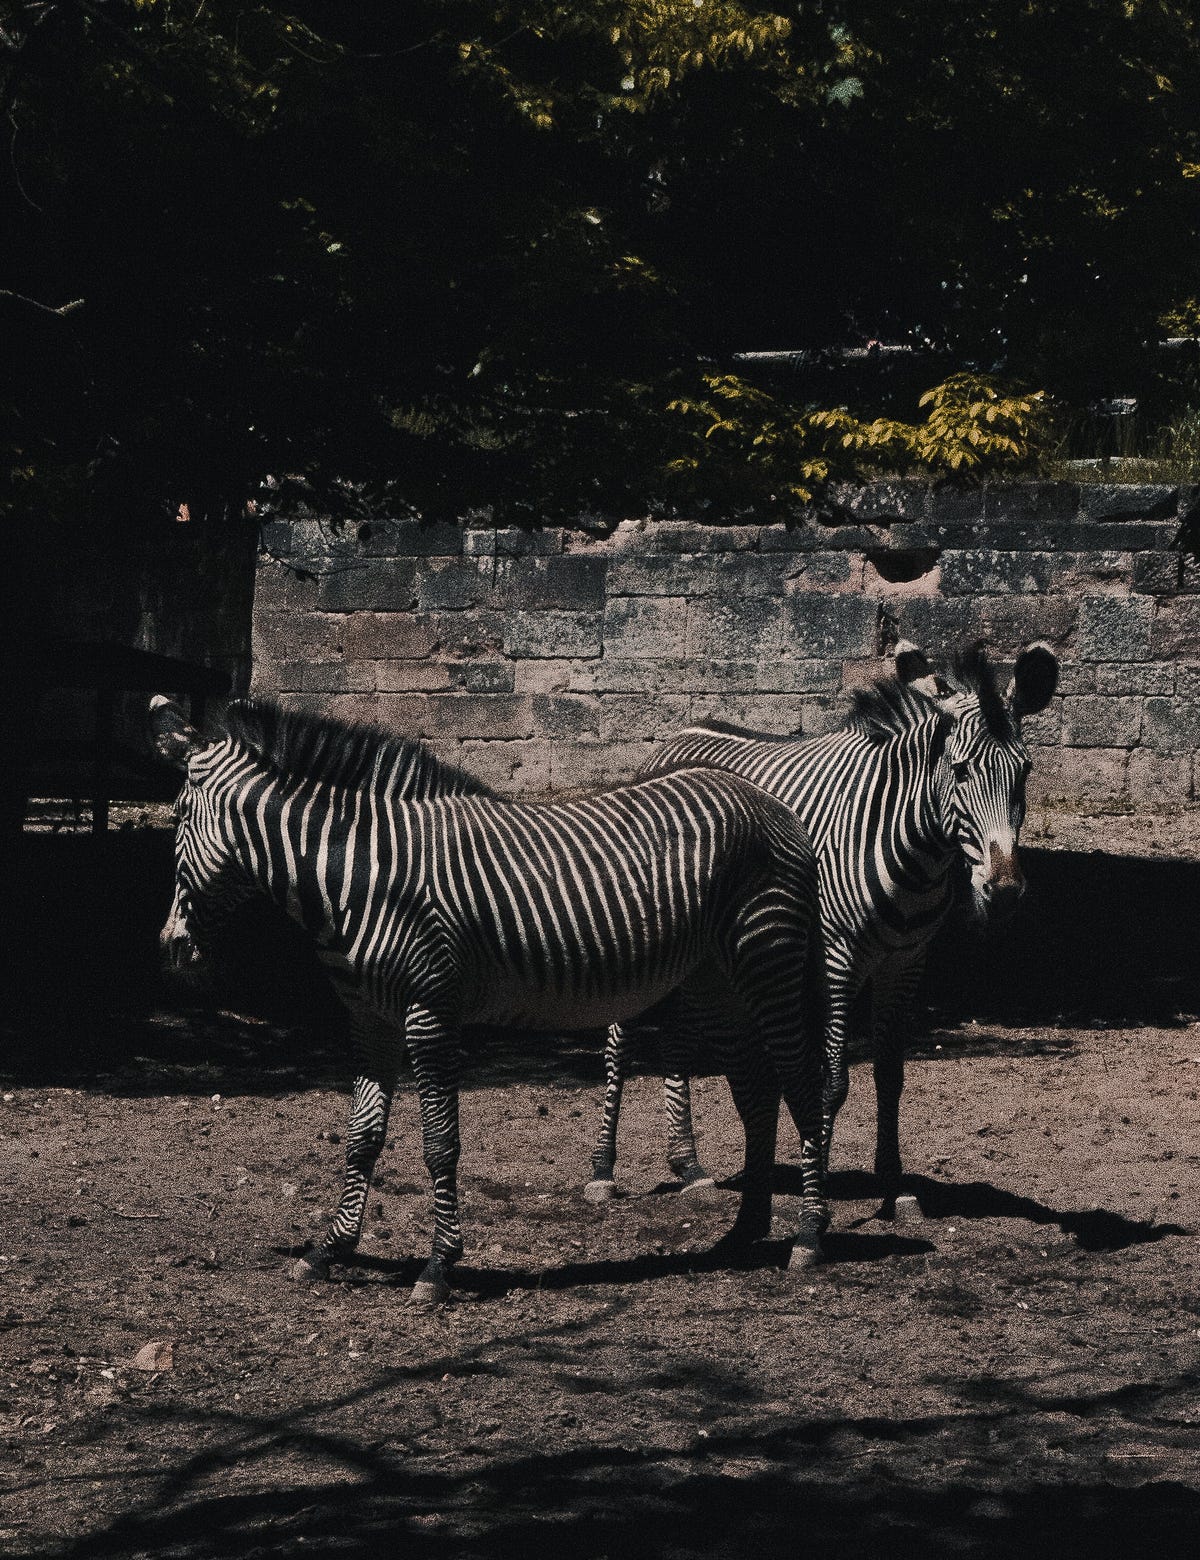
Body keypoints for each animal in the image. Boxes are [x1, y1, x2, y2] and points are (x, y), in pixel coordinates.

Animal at [150, 695, 829, 1305]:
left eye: (179, 814)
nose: (170, 949)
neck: (362, 875)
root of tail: (777, 809)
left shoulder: (430, 1010)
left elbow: (439, 1142)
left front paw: (437, 1266)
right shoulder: (368, 1018)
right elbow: (363, 1137)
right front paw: (329, 1250)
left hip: (767, 960)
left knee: (799, 1083)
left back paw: (809, 1238)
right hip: (717, 982)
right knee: (757, 1090)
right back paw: (745, 1231)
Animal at [587, 640, 1058, 1211]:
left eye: (1025, 772)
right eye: (961, 771)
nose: (1005, 892)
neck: (912, 847)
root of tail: (669, 742)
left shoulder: (906, 962)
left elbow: (889, 1074)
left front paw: (893, 1187)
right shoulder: (838, 959)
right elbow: (832, 1083)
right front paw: (821, 1188)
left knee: (677, 1037)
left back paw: (688, 1165)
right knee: (620, 1039)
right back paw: (603, 1171)